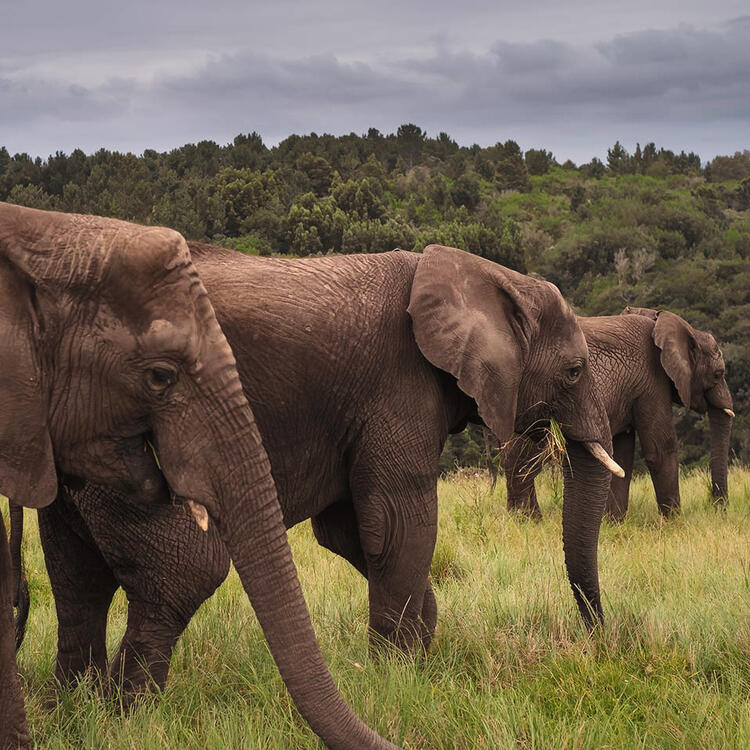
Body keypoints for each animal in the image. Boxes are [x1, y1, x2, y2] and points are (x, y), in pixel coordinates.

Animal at [14, 244, 624, 708]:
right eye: (574, 371)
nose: (599, 644)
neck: (486, 275)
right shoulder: (399, 387)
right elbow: (396, 524)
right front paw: (400, 675)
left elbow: (350, 532)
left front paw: (417, 650)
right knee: (183, 574)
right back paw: (131, 716)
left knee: (76, 579)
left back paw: (74, 712)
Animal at [502, 306, 736, 524]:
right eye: (718, 374)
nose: (719, 508)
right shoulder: (652, 382)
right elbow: (661, 449)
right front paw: (674, 524)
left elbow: (622, 453)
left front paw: (614, 523)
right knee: (523, 458)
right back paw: (528, 520)